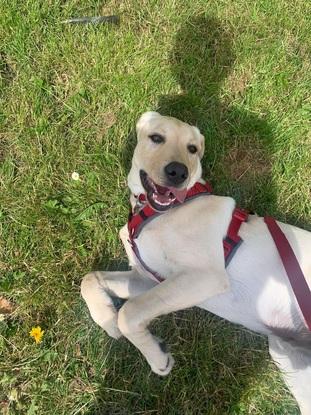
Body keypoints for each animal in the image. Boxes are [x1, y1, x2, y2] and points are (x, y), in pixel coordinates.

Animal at [82, 112, 311, 414]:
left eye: (192, 149)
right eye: (156, 137)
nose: (178, 172)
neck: (161, 212)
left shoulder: (204, 277)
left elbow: (130, 312)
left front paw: (156, 357)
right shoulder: (149, 279)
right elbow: (90, 279)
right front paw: (107, 318)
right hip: (292, 361)